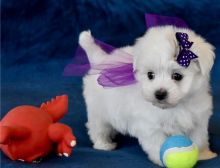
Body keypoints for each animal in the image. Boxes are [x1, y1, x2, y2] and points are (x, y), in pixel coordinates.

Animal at [78, 26, 217, 165]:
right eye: (150, 75)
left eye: (177, 76)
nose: (159, 94)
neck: (177, 106)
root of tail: (99, 61)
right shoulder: (151, 126)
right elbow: (158, 143)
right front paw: (161, 159)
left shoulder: (199, 119)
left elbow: (199, 139)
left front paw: (204, 154)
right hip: (98, 111)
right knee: (97, 128)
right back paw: (103, 144)